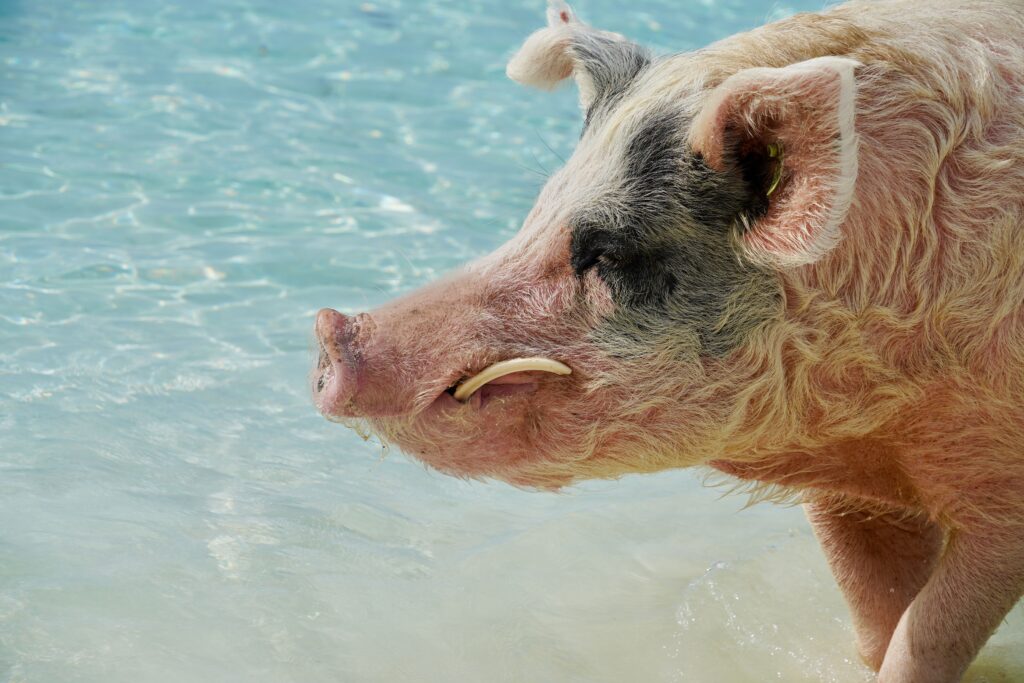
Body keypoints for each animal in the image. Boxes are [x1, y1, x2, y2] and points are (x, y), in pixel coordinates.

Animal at [312, 1, 1024, 680]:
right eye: (536, 213)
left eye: (603, 251)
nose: (329, 331)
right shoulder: (849, 491)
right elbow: (877, 625)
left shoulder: (1000, 499)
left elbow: (923, 639)